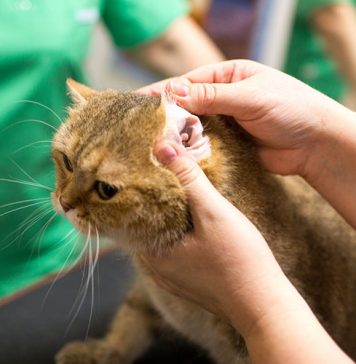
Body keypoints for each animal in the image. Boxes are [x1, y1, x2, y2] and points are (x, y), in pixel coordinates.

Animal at [52, 80, 356, 364]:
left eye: (106, 190)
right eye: (67, 162)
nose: (63, 203)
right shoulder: (146, 295)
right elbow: (130, 322)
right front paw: (102, 351)